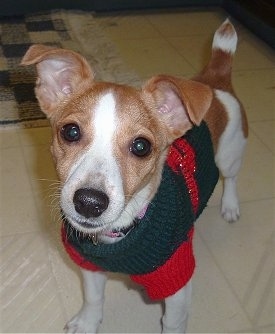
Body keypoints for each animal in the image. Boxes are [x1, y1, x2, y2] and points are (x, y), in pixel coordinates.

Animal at [22, 18, 249, 334]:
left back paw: (230, 205)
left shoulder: (176, 282)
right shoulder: (89, 265)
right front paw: (88, 322)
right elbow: (93, 298)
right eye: (70, 131)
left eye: (141, 147)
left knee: (231, 178)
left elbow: (172, 323)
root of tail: (214, 82)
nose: (89, 202)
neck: (119, 234)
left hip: (229, 155)